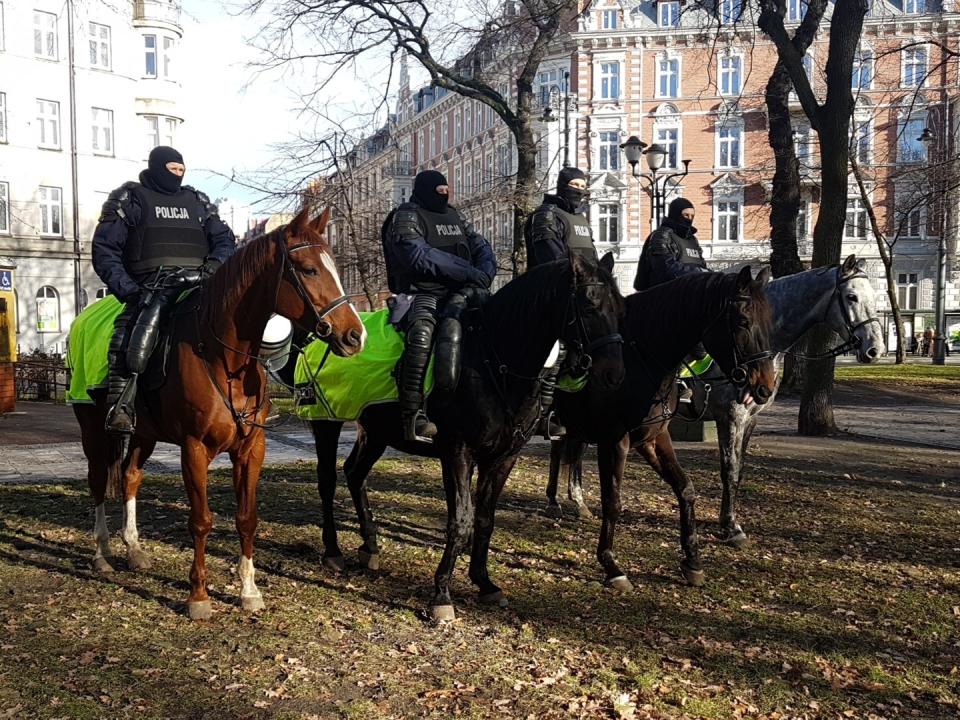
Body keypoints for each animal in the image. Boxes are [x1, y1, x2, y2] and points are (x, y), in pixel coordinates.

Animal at [71, 207, 364, 620]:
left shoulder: (251, 449)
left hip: (144, 434)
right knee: (98, 481)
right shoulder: (194, 449)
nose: (355, 335)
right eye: (308, 269)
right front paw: (198, 595)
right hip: (93, 430)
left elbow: (246, 519)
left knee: (129, 477)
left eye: (335, 267)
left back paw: (135, 549)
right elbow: (201, 521)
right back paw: (102, 553)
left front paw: (249, 589)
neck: (225, 359)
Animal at [304, 253, 628, 620]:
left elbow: (485, 520)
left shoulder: (502, 458)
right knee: (328, 480)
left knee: (355, 474)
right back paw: (333, 551)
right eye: (589, 306)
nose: (615, 374)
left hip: (376, 434)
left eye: (619, 307)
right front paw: (442, 594)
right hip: (326, 424)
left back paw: (369, 545)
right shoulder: (457, 453)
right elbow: (461, 520)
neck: (494, 360)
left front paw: (484, 583)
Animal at [544, 268, 776, 588]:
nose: (766, 387)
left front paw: (692, 560)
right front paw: (611, 565)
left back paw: (571, 503)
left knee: (566, 453)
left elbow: (685, 488)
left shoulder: (653, 438)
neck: (640, 358)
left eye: (769, 319)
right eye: (742, 321)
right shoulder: (614, 441)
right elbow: (612, 501)